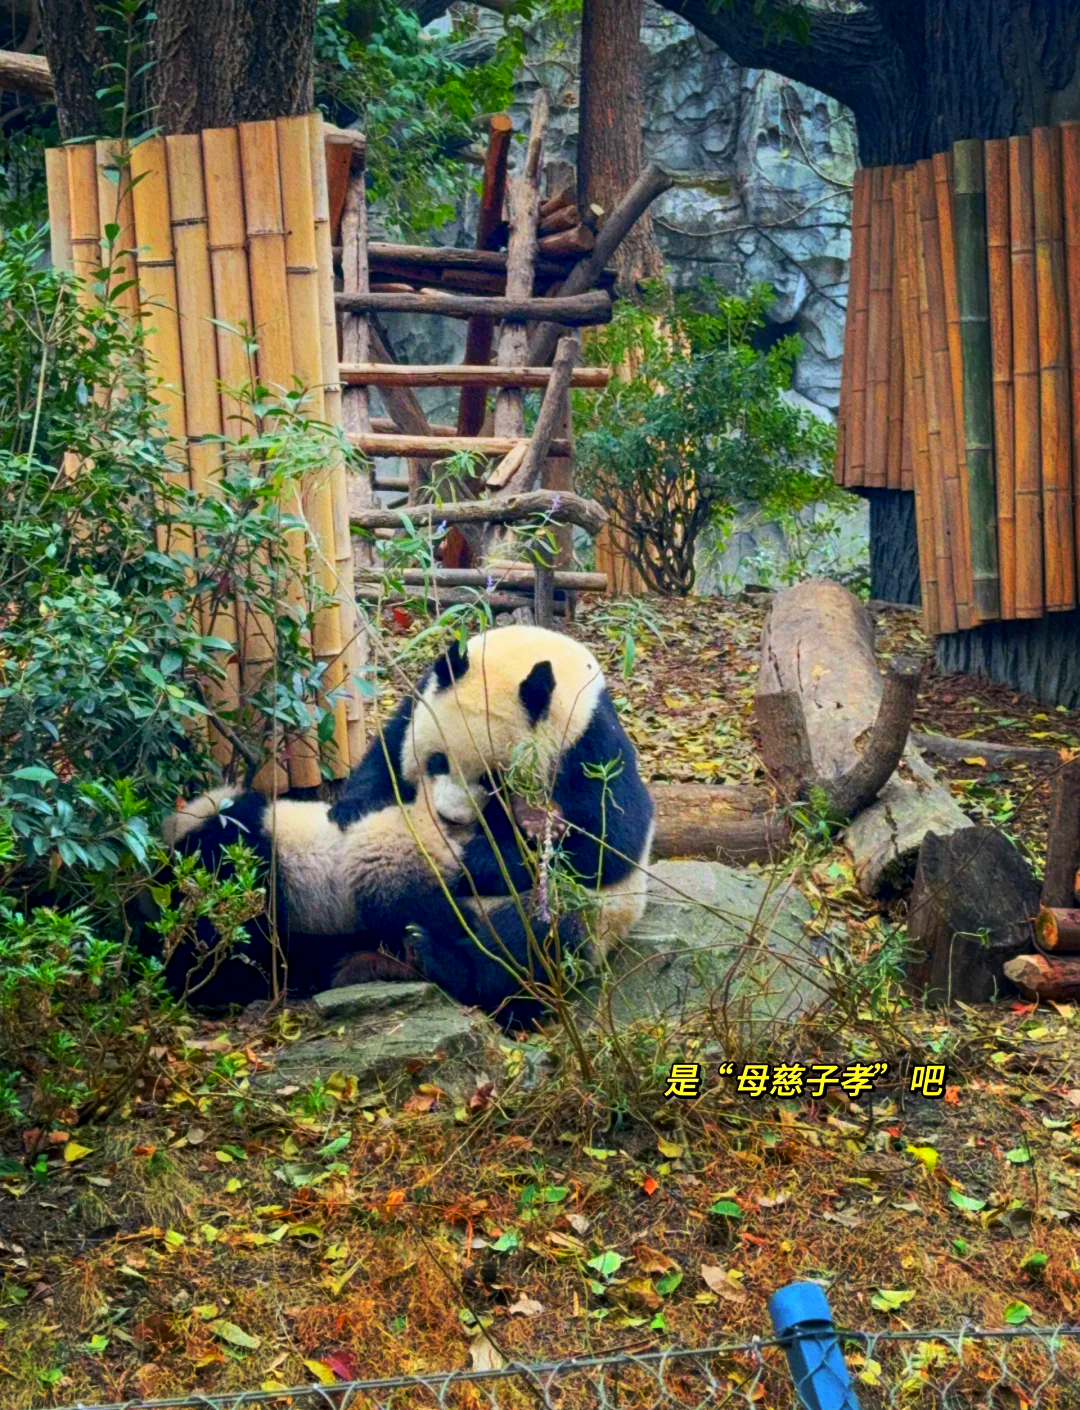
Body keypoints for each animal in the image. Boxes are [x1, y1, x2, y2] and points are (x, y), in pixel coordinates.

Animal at [157, 628, 654, 1026]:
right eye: (437, 762)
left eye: (492, 780)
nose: (450, 821)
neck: (539, 656)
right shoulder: (417, 702)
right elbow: (383, 760)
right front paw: (352, 808)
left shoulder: (589, 740)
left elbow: (608, 838)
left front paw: (482, 861)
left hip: (593, 914)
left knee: (531, 940)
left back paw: (440, 957)